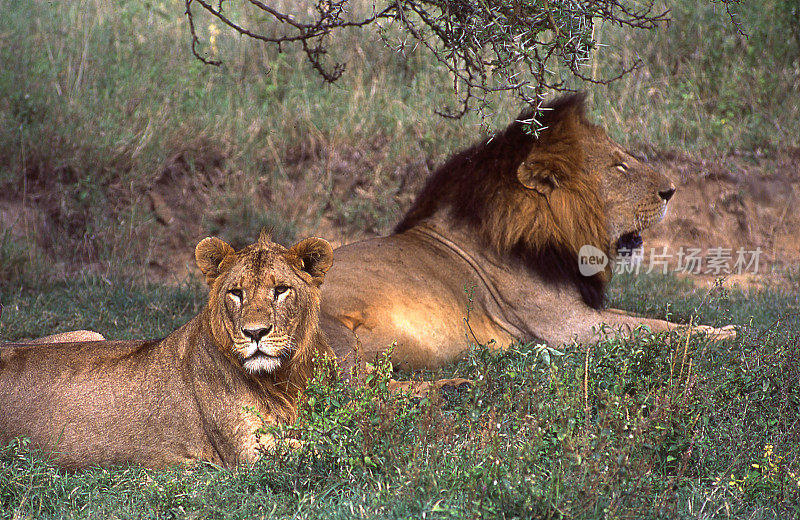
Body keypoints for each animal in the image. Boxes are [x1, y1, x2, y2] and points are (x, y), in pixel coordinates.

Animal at [0, 232, 332, 472]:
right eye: (236, 293)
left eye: (281, 290)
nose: (254, 332)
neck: (283, 378)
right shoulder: (249, 449)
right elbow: (329, 445)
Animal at [322, 93, 736, 370]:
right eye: (619, 166)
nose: (671, 191)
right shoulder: (568, 327)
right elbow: (655, 327)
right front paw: (727, 332)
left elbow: (650, 319)